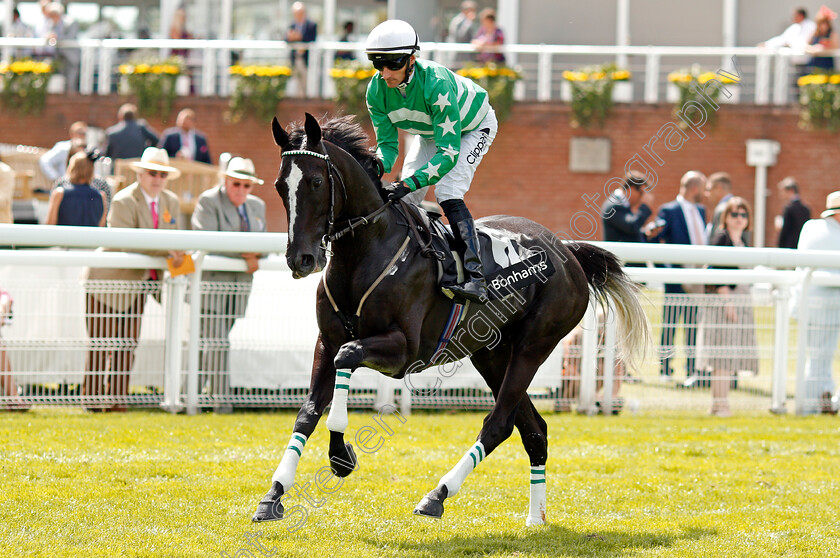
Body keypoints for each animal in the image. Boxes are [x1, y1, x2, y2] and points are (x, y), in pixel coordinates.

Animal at [253, 115, 652, 528]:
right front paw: (274, 494)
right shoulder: (326, 339)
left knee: (499, 423)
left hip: (533, 345)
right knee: (533, 430)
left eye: (316, 182)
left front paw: (340, 455)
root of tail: (567, 251)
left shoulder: (402, 350)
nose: (300, 259)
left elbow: (347, 356)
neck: (364, 253)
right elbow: (308, 411)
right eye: (280, 185)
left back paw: (437, 494)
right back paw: (535, 518)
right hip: (490, 354)